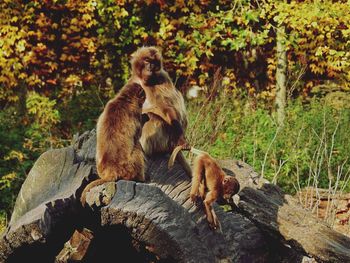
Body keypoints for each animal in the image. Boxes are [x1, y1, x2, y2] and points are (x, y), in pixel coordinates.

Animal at [131, 47, 191, 177]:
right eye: (147, 61)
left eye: (153, 63)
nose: (150, 67)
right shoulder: (133, 81)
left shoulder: (162, 78)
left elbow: (168, 108)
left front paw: (182, 139)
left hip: (166, 137)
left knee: (150, 117)